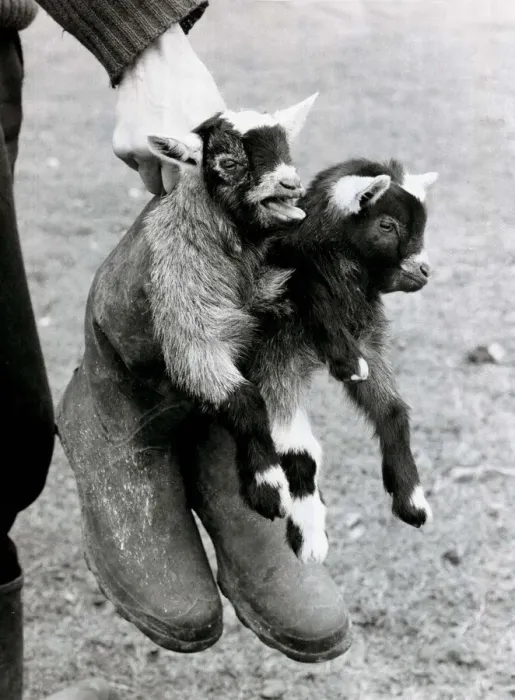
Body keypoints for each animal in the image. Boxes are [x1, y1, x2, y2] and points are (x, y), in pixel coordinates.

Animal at [143, 96, 317, 523]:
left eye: (286, 149)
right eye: (229, 163)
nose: (290, 184)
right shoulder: (187, 325)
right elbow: (246, 400)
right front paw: (268, 488)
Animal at [244, 158, 438, 562]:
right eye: (387, 225)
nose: (425, 271)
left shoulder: (369, 342)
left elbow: (393, 412)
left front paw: (412, 500)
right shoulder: (275, 354)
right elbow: (297, 449)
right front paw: (310, 538)